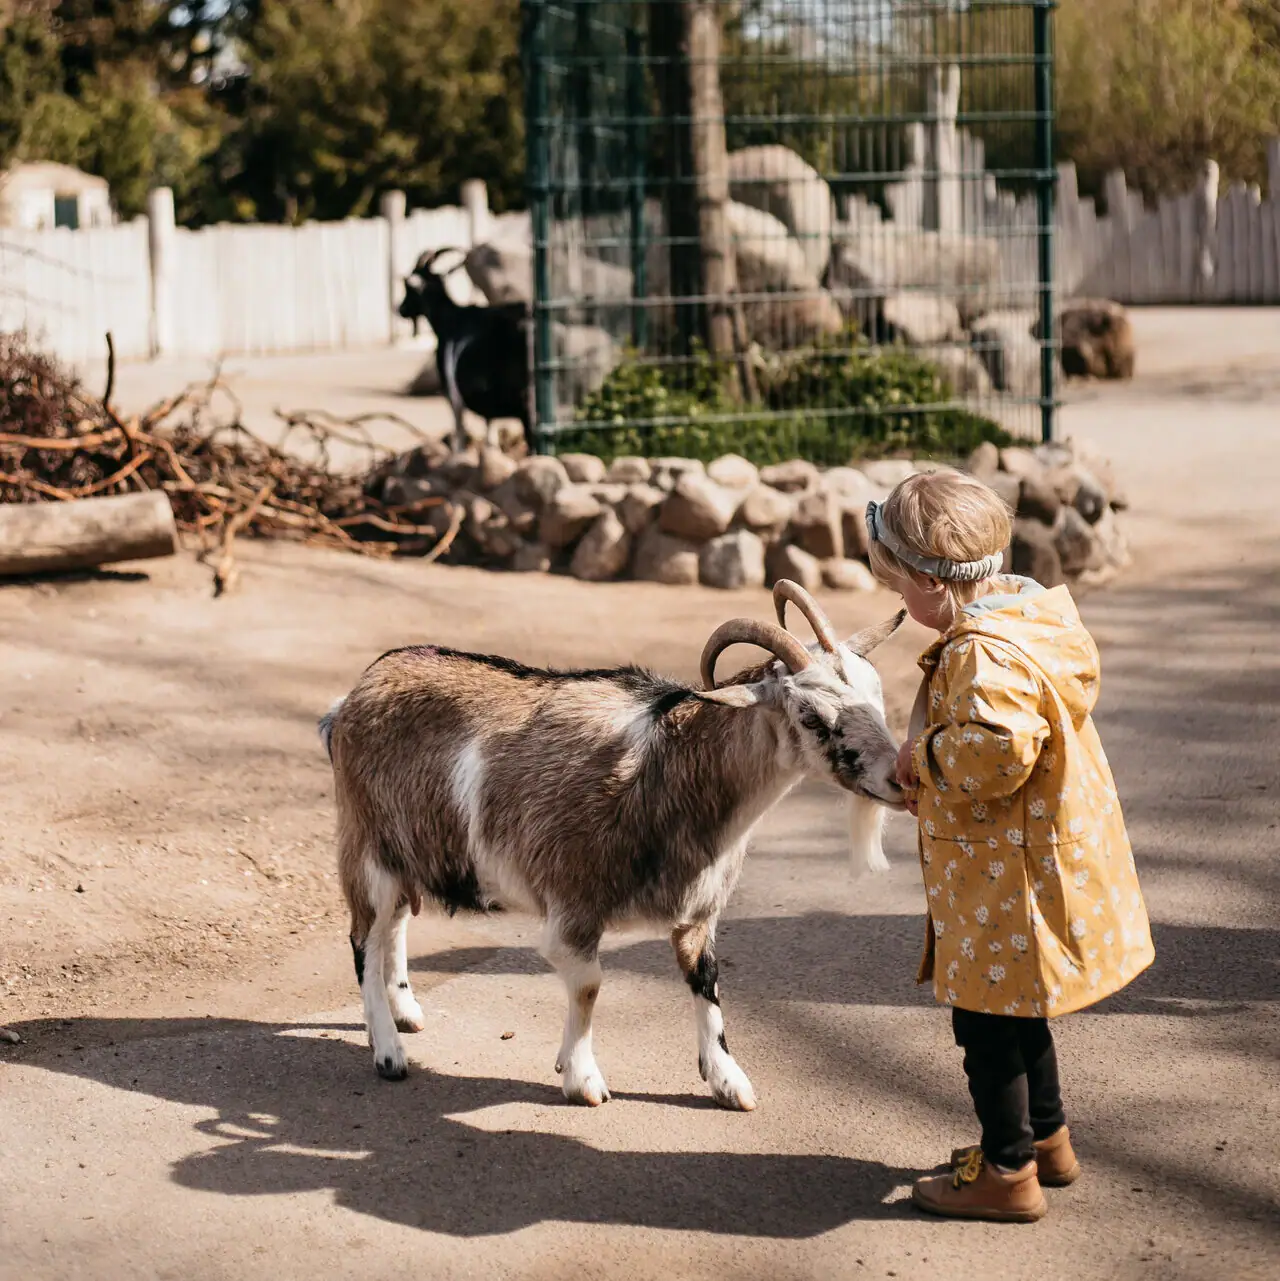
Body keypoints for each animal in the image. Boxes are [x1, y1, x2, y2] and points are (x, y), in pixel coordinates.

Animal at [319, 581, 905, 1107]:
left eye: (876, 693)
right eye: (810, 716)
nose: (897, 779)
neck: (666, 769)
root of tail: (353, 695)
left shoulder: (698, 910)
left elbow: (706, 979)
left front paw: (728, 1081)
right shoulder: (574, 905)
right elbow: (589, 986)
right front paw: (582, 1080)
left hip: (406, 850)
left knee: (392, 927)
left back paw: (405, 1014)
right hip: (366, 847)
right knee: (363, 939)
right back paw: (388, 1052)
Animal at [399, 248, 533, 453]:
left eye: (408, 287)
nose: (401, 309)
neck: (450, 318)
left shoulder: (454, 397)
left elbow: (460, 438)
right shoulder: (488, 405)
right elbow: (489, 437)